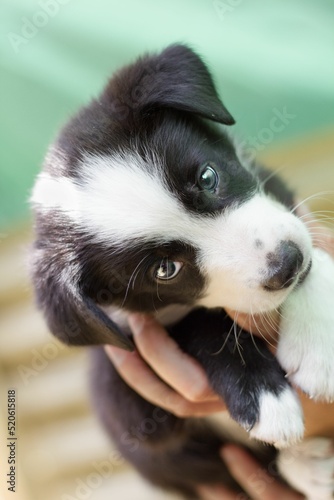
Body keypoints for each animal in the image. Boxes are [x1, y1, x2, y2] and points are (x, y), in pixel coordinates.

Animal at [31, 45, 334, 498]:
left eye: (207, 176)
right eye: (165, 269)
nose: (286, 264)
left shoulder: (282, 202)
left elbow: (313, 245)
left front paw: (319, 347)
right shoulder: (126, 398)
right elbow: (197, 320)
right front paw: (262, 394)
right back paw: (311, 466)